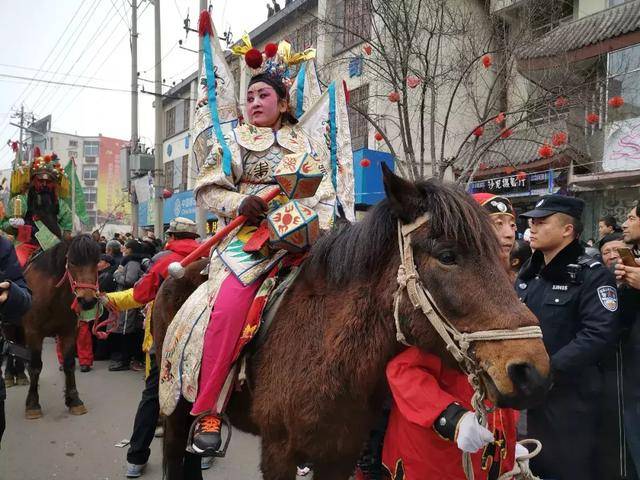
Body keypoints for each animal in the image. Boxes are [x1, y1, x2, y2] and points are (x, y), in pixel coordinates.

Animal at [21, 234, 100, 418]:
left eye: (97, 261)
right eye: (72, 262)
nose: (87, 300)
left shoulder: (69, 331)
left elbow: (69, 364)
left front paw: (74, 400)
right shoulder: (33, 332)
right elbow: (35, 366)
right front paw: (33, 404)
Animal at [154, 167, 552, 478]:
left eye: (504, 258)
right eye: (447, 256)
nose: (531, 373)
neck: (326, 350)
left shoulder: (340, 454)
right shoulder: (279, 451)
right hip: (173, 403)